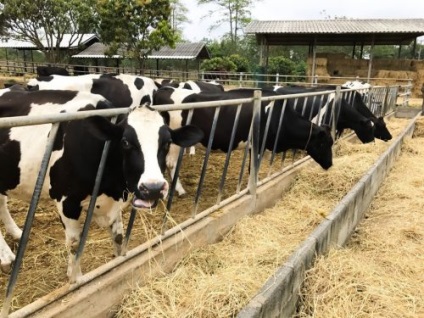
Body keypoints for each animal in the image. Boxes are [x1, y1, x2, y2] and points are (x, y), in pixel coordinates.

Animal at [0, 89, 204, 280]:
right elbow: (74, 245)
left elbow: (119, 237)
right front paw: (75, 278)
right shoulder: (66, 200)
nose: (153, 188)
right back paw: (6, 257)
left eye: (167, 143)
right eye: (125, 142)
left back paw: (16, 234)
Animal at [153, 87, 334, 196]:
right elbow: (253, 168)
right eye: (322, 144)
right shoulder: (258, 145)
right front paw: (251, 188)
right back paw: (180, 190)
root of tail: (164, 89)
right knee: (171, 163)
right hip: (175, 141)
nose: (330, 164)